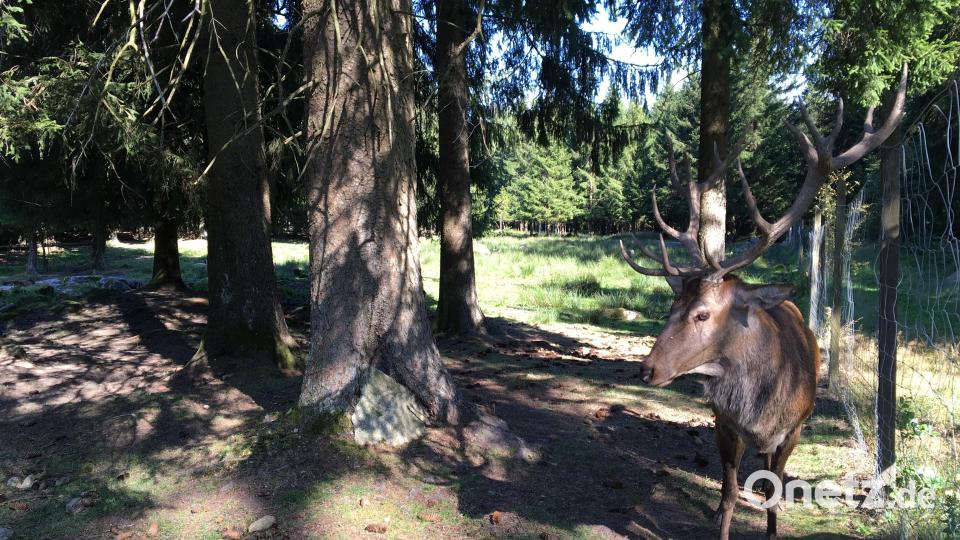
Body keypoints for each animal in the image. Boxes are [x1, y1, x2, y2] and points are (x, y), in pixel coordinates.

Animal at [619, 65, 908, 540]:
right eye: (671, 309)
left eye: (702, 313)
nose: (648, 369)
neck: (762, 408)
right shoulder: (724, 423)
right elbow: (730, 492)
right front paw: (721, 519)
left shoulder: (794, 428)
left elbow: (773, 491)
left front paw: (772, 528)